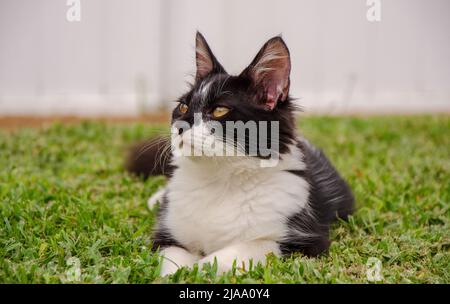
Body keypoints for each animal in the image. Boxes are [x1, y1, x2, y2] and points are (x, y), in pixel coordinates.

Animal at [126, 31, 356, 276]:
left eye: (219, 110)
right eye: (183, 107)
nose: (180, 126)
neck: (218, 179)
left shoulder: (305, 241)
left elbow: (236, 252)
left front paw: (199, 270)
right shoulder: (167, 236)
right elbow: (172, 261)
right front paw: (179, 273)